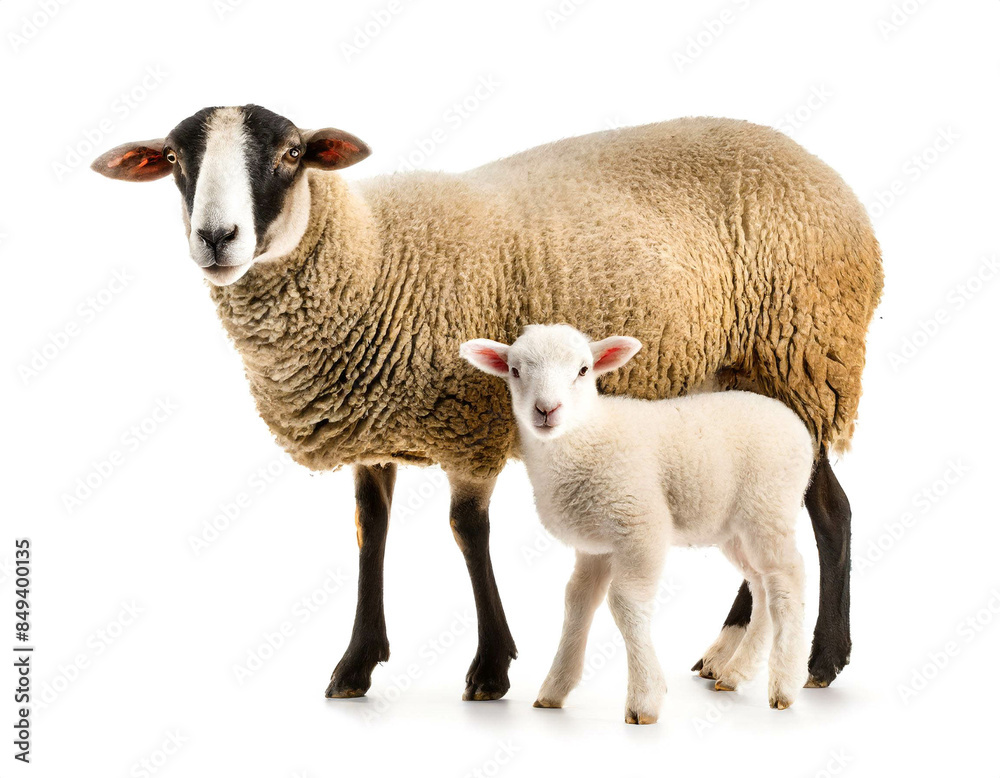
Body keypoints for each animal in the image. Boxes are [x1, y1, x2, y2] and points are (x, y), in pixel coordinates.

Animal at [461, 324, 814, 721]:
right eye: (515, 371)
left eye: (583, 370)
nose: (547, 410)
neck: (588, 435)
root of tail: (795, 424)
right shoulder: (593, 547)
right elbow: (577, 602)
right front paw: (555, 688)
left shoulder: (642, 526)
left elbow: (625, 602)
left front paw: (644, 698)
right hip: (734, 527)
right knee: (762, 584)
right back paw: (737, 673)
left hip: (768, 508)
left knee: (786, 578)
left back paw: (785, 684)